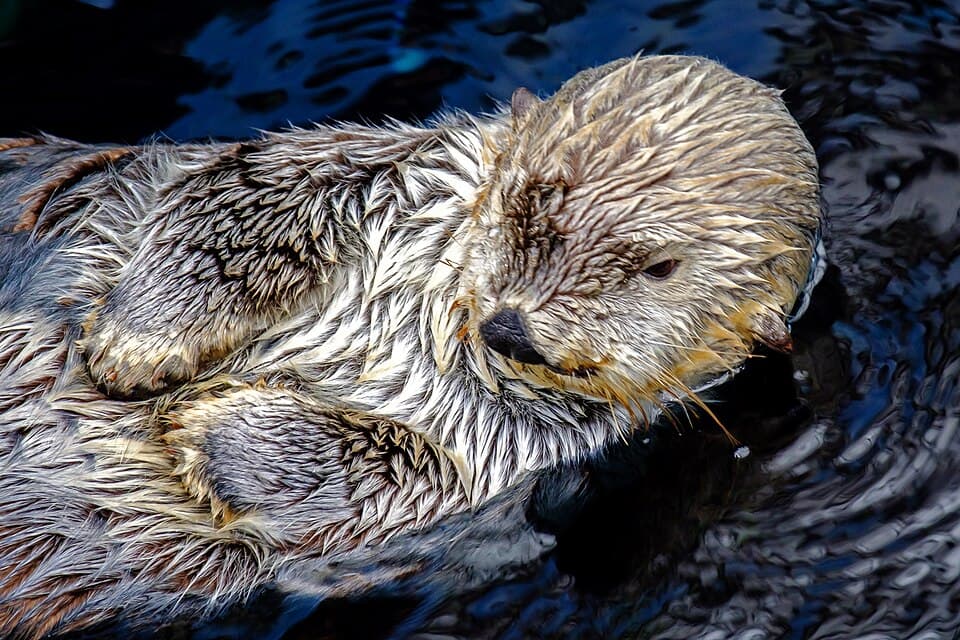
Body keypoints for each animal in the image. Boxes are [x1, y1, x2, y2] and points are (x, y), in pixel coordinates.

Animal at [0, 55, 820, 638]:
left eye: (660, 270)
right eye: (523, 203)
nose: (511, 327)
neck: (431, 319)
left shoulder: (508, 460)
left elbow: (390, 476)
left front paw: (208, 423)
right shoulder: (369, 168)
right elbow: (230, 202)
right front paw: (136, 345)